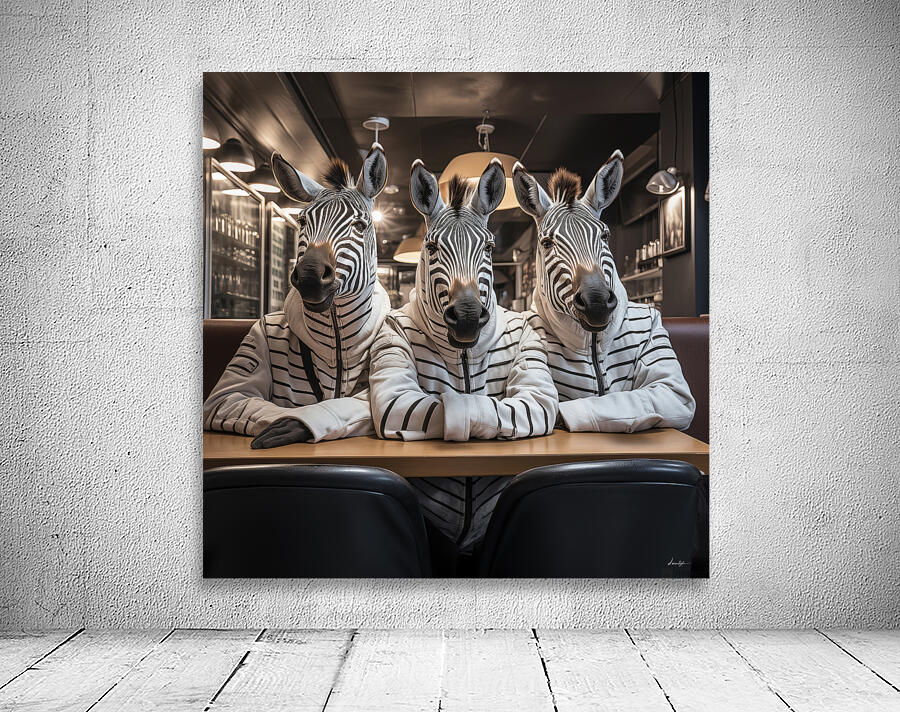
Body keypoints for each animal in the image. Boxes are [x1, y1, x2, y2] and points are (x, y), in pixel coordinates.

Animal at [203, 143, 391, 448]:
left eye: (360, 226)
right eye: (302, 221)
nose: (310, 276)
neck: (336, 333)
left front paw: (297, 422)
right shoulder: (234, 385)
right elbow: (232, 394)